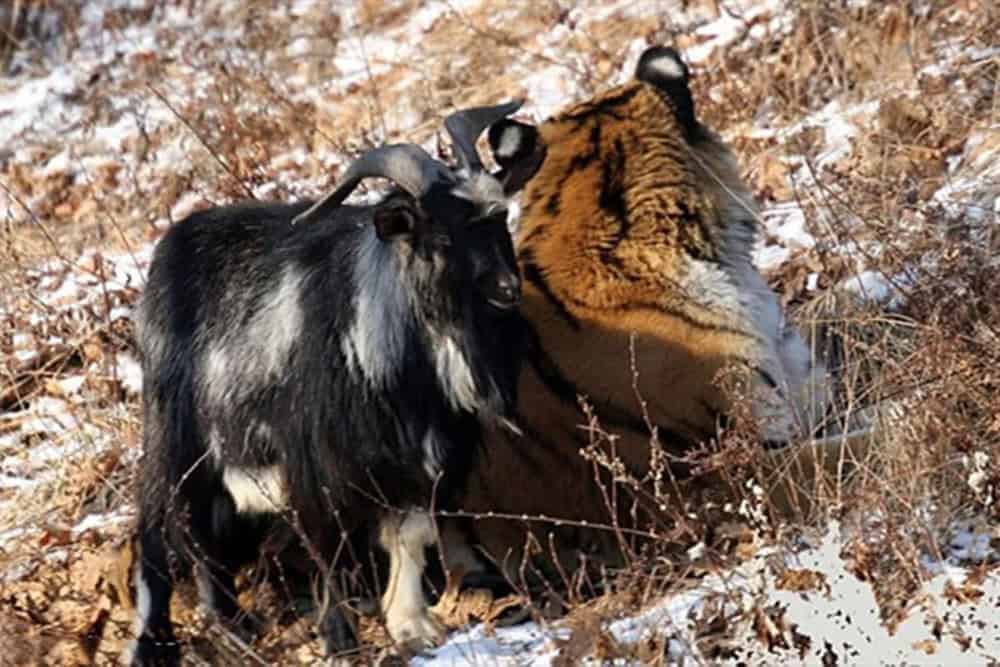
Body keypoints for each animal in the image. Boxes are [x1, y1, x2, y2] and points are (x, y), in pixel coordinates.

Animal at [130, 101, 527, 665]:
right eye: (439, 239)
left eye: (499, 219)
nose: (506, 291)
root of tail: (168, 253)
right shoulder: (316, 463)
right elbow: (329, 549)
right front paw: (341, 640)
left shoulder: (416, 461)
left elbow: (410, 535)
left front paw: (411, 625)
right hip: (176, 444)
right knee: (161, 535)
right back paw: (157, 643)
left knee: (206, 540)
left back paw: (235, 626)